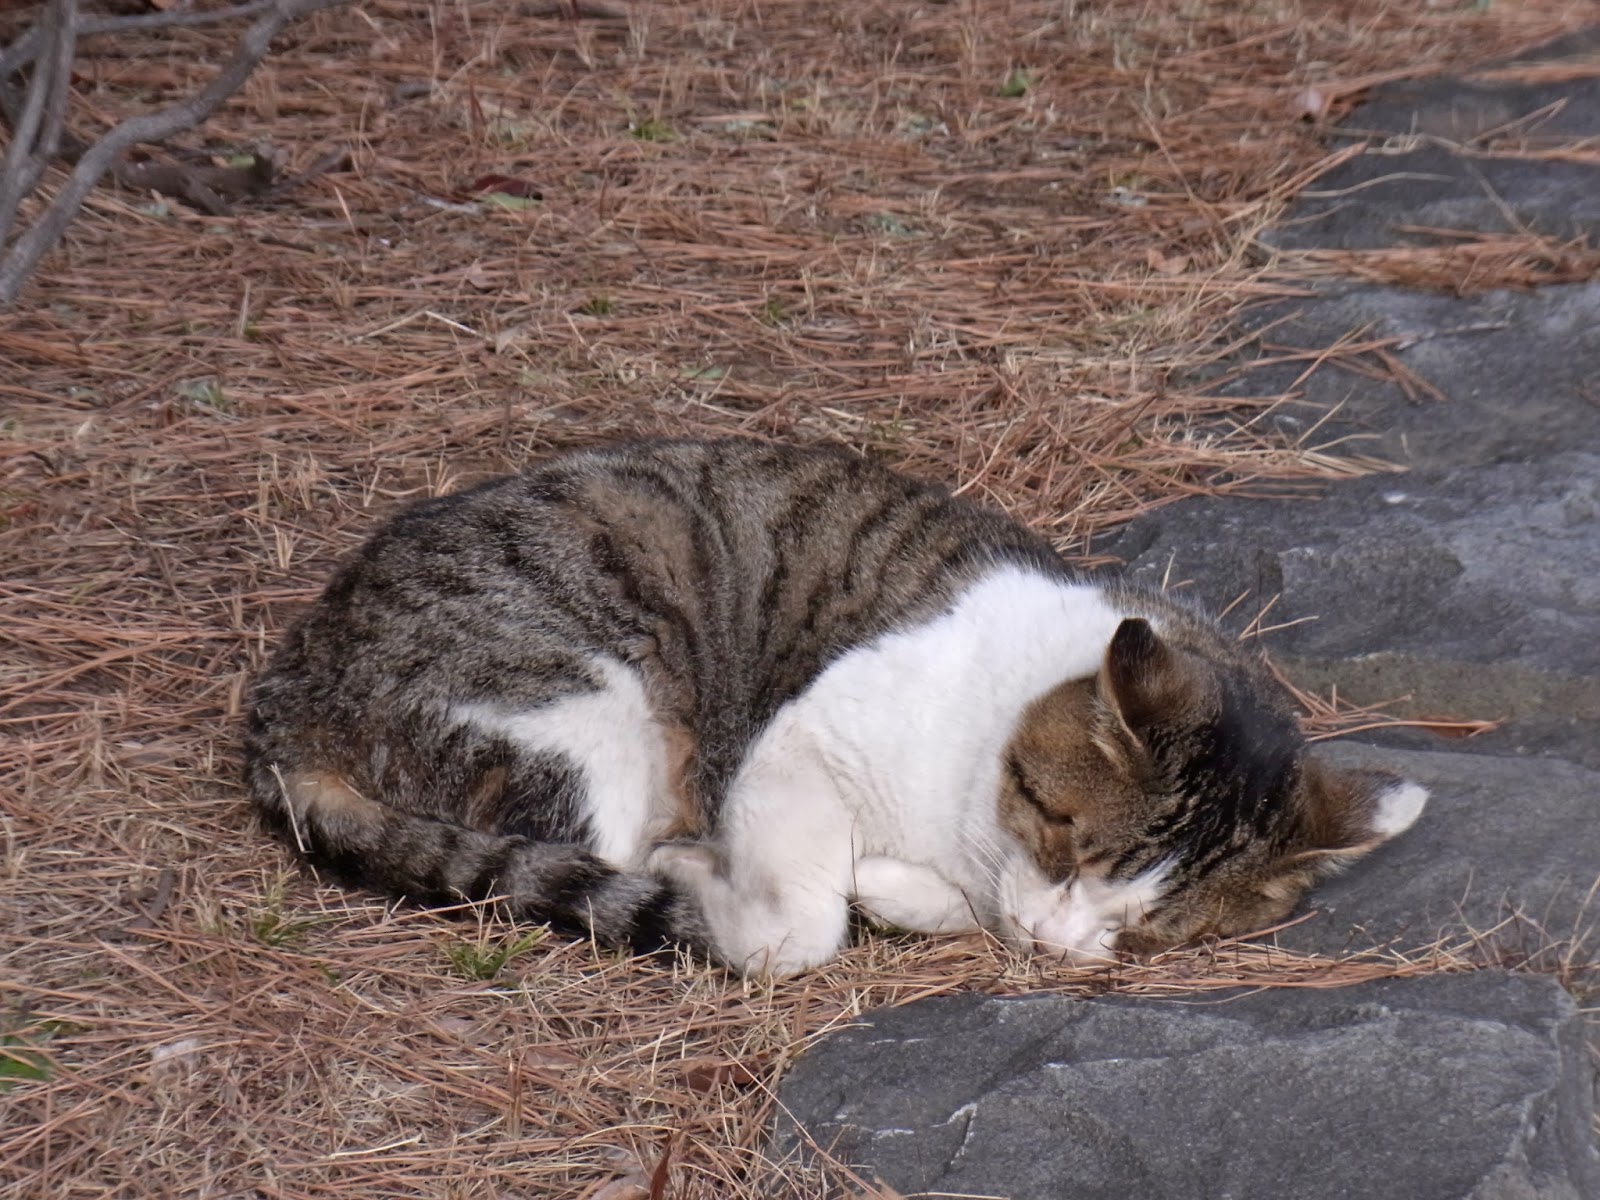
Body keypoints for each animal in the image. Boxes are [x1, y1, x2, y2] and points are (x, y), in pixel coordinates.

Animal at [243, 438, 1427, 976]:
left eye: (1149, 923)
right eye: (1064, 839)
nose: (1053, 939)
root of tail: (287, 686)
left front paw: (902, 893)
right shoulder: (800, 740)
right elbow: (801, 927)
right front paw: (742, 888)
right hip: (581, 706)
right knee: (590, 843)